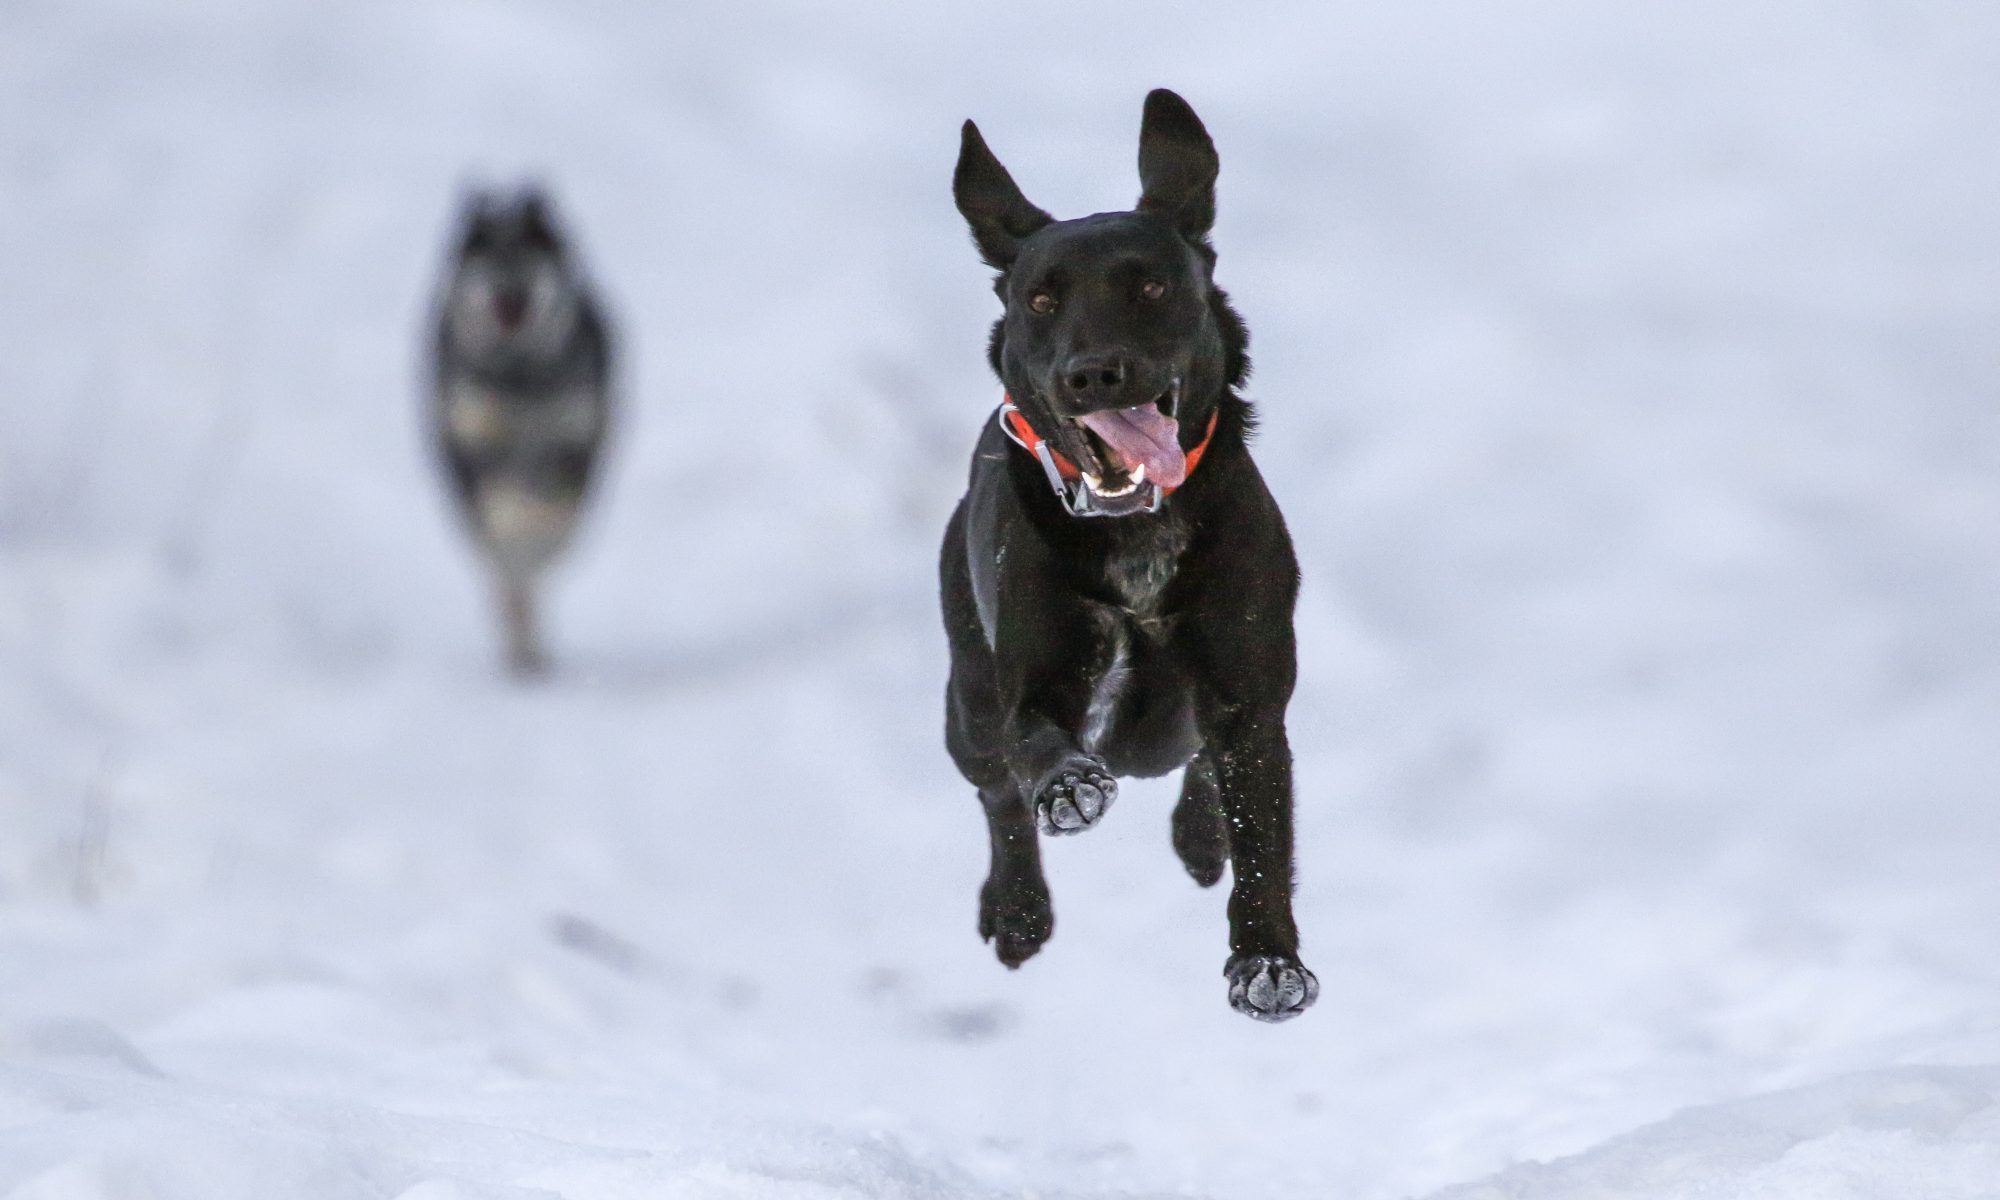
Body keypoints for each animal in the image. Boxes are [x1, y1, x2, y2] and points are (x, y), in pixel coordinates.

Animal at [438, 188, 616, 676]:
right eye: (486, 256)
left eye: (529, 253)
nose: (509, 288)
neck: (520, 375)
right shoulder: (477, 436)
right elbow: (505, 516)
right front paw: (516, 524)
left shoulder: (574, 437)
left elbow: (552, 511)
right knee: (507, 581)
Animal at [944, 91, 1320, 1020]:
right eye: (1042, 300)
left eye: (1151, 285)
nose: (1093, 374)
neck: (1134, 536)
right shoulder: (1028, 680)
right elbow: (1037, 744)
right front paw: (1070, 787)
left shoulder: (1248, 691)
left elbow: (1261, 827)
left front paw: (1268, 962)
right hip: (965, 704)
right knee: (996, 791)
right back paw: (1018, 912)